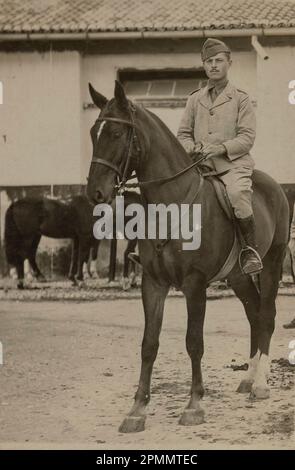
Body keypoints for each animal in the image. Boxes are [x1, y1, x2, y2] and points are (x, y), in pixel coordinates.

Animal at [4, 192, 140, 288]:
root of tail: (15, 204)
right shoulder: (85, 237)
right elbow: (82, 256)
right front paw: (80, 280)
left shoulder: (77, 238)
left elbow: (75, 257)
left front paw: (73, 278)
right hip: (28, 236)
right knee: (23, 255)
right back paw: (23, 281)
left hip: (35, 236)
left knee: (30, 255)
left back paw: (37, 277)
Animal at [86, 81, 290, 434]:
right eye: (92, 133)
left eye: (115, 133)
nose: (94, 192)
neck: (171, 204)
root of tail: (274, 186)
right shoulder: (153, 283)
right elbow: (149, 344)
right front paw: (137, 409)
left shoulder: (195, 285)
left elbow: (194, 341)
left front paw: (194, 405)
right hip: (238, 276)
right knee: (253, 314)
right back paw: (249, 378)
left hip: (272, 265)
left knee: (266, 315)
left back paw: (262, 383)